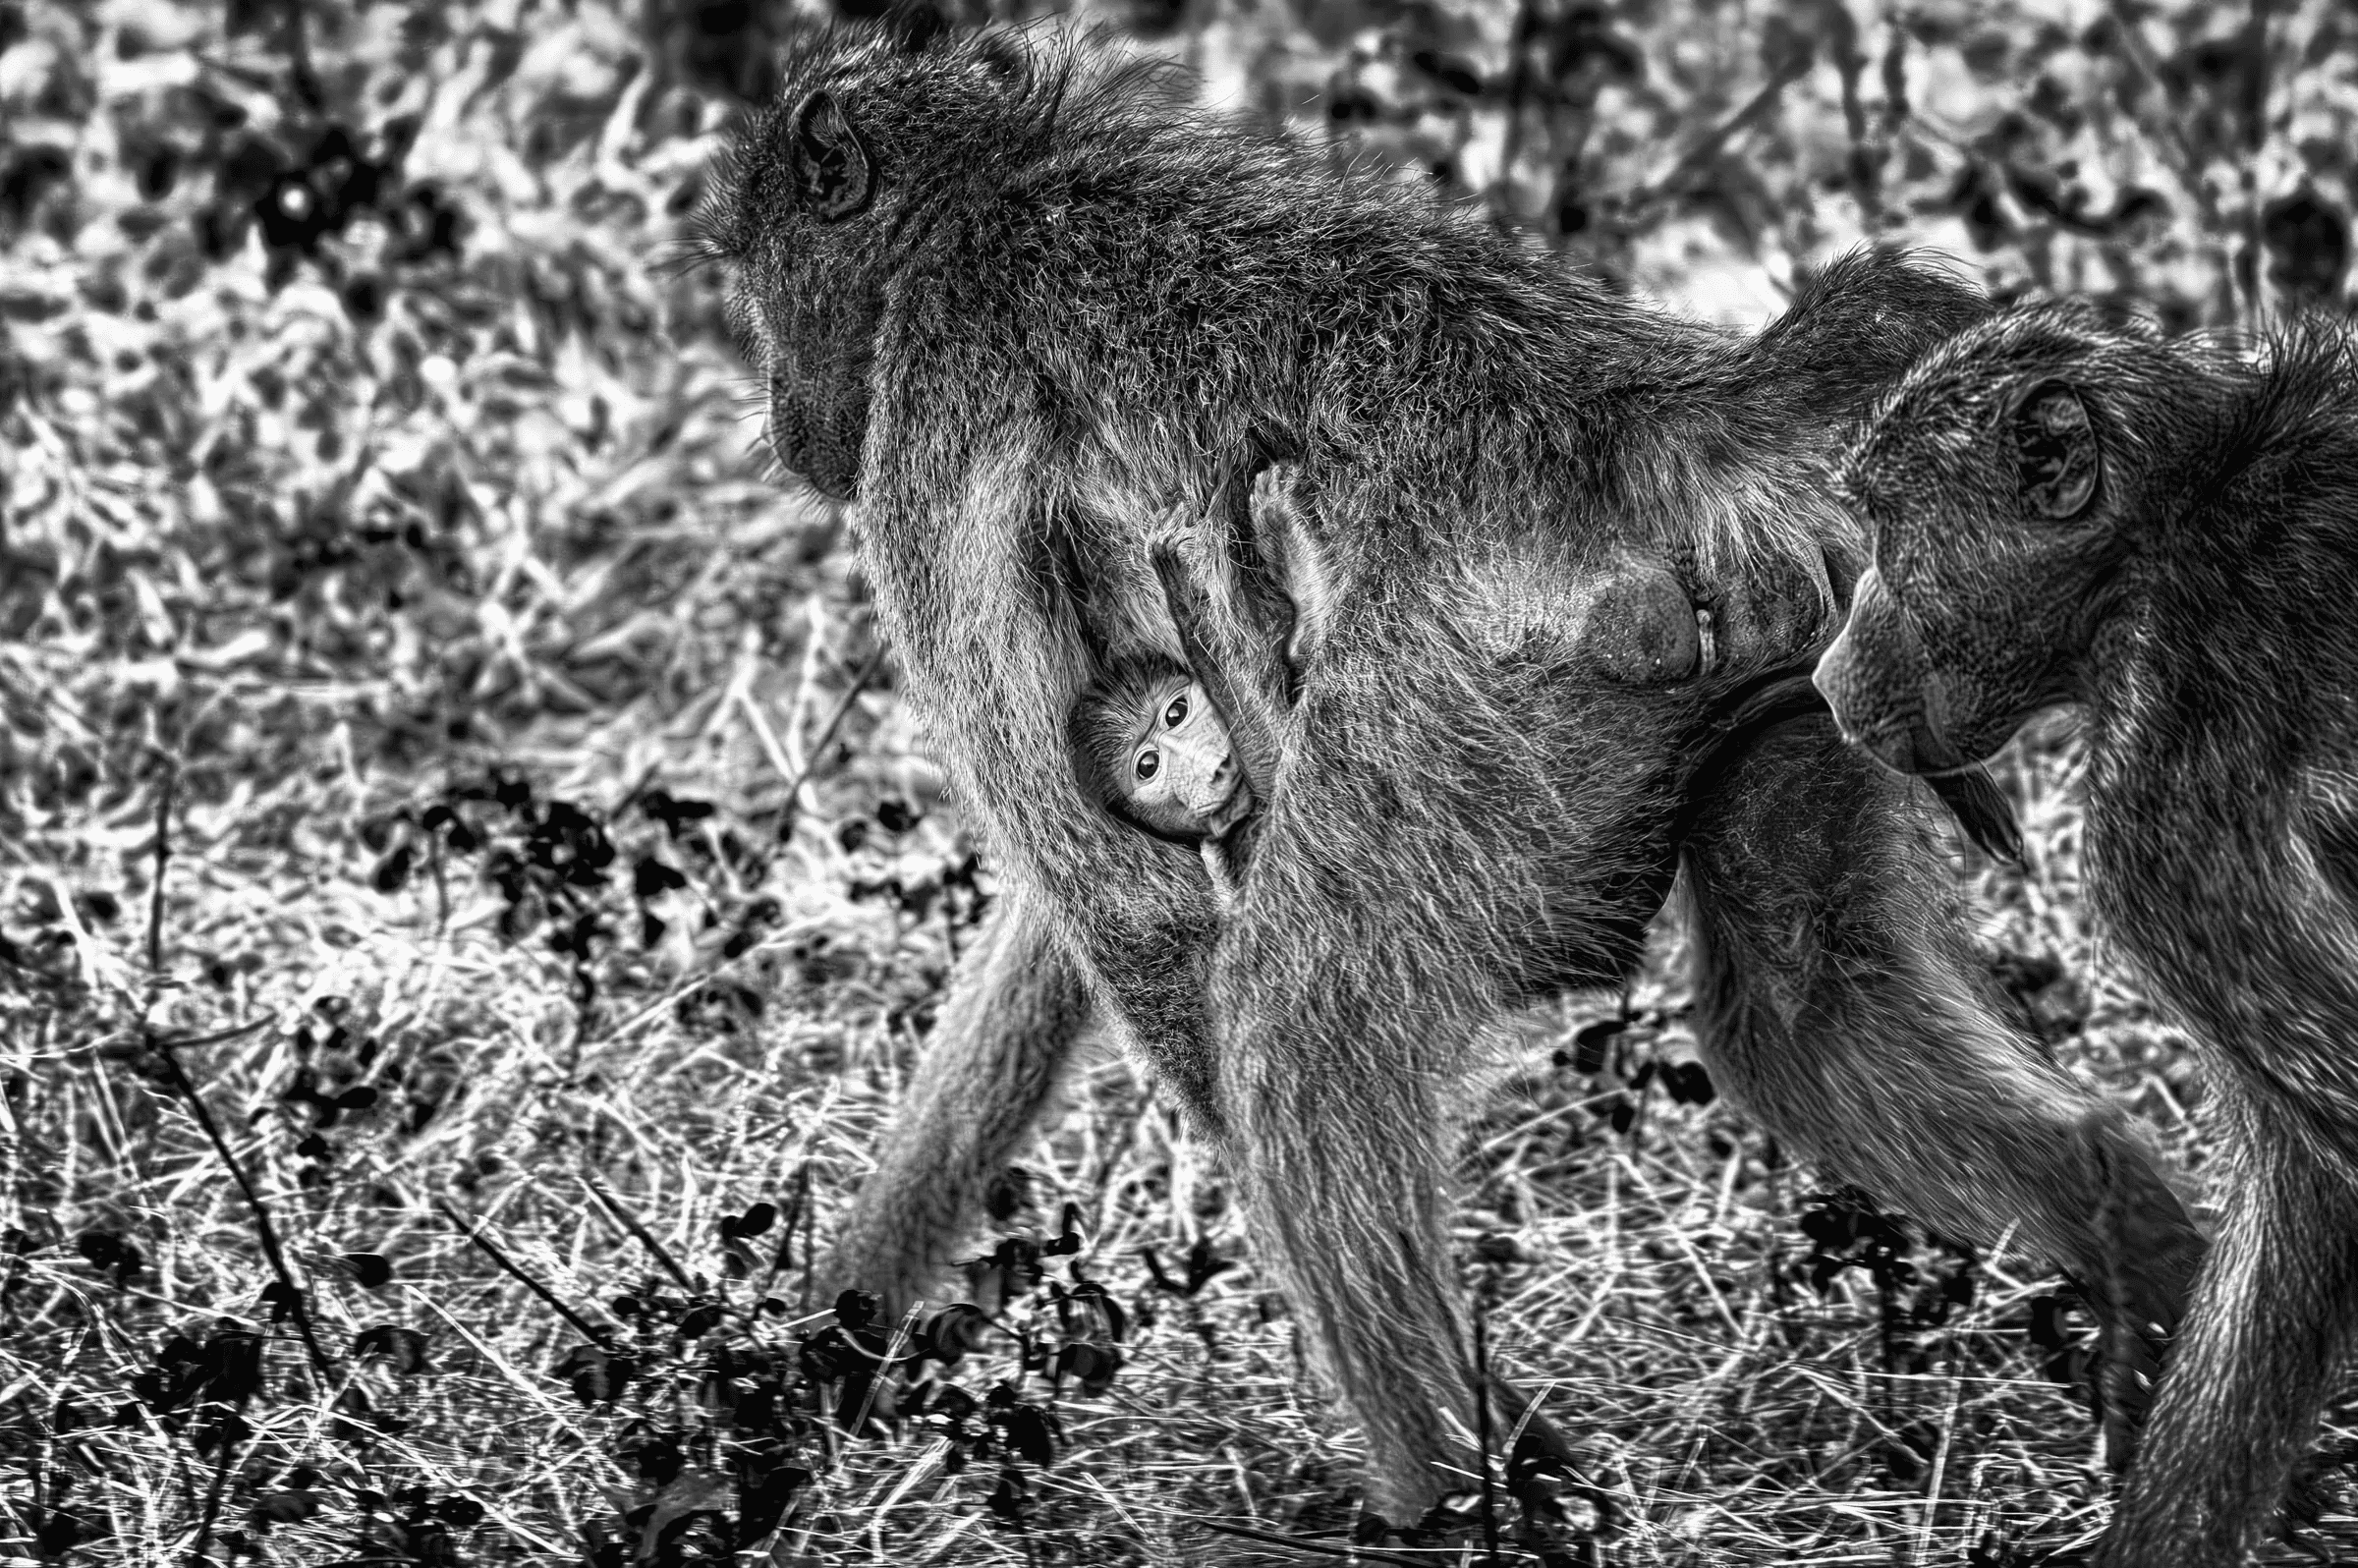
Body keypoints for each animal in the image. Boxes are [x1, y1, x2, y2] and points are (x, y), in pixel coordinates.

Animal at [699, 27, 2206, 1531]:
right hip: (1827, 658)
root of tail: (1651, 417)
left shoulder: (931, 418)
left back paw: (1468, 1498)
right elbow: (1060, 931)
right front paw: (816, 1362)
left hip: (1453, 723)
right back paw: (2147, 1263)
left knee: (1294, 1034)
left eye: (758, 278)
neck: (983, 193)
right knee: (1802, 1002)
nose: (779, 424)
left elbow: (1126, 912)